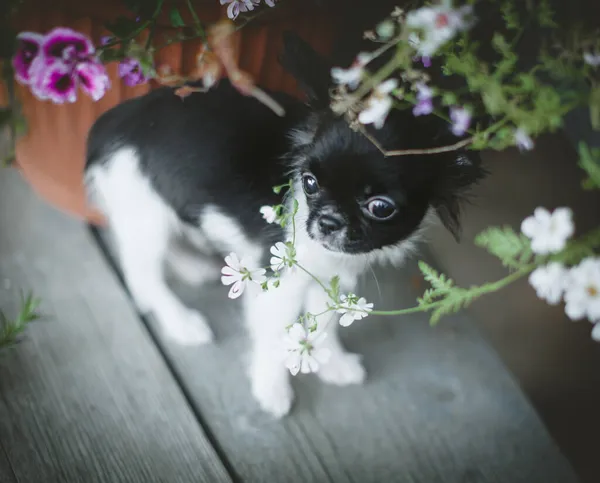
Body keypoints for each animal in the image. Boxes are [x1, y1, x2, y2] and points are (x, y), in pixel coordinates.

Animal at [84, 34, 486, 418]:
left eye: (381, 208)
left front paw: (332, 364)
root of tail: (113, 120)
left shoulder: (330, 278)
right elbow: (275, 338)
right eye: (309, 182)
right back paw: (180, 321)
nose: (327, 221)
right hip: (143, 210)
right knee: (143, 276)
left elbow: (324, 324)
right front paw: (271, 389)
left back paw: (192, 267)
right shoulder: (278, 285)